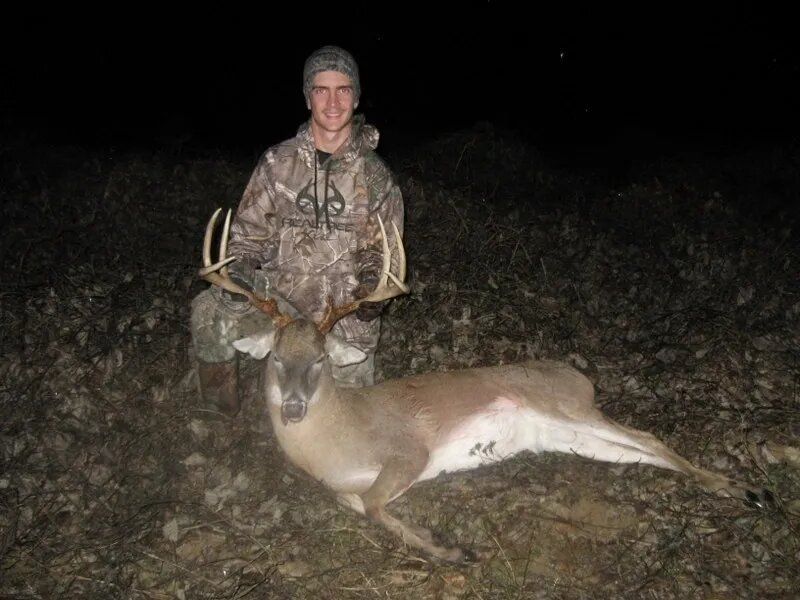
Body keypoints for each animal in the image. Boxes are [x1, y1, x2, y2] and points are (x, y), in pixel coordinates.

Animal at [199, 208, 772, 562]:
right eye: (276, 357)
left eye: (320, 359)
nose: (294, 407)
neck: (333, 443)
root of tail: (580, 376)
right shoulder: (345, 485)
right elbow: (360, 505)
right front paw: (445, 544)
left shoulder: (409, 450)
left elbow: (377, 506)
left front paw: (452, 549)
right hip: (569, 438)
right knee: (640, 451)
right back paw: (738, 490)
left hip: (562, 406)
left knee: (649, 437)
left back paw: (748, 490)